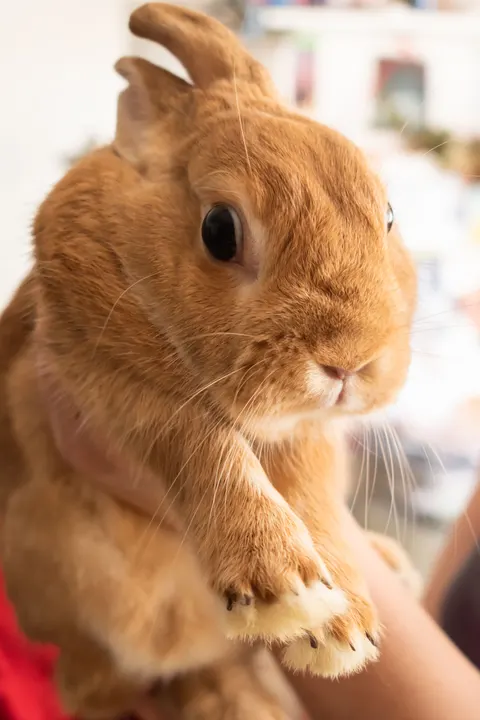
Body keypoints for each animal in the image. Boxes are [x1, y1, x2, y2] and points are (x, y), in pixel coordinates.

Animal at [0, 3, 417, 718]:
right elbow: (199, 442)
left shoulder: (308, 435)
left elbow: (314, 494)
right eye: (219, 230)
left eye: (387, 216)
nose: (351, 362)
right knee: (91, 674)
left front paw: (342, 628)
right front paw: (285, 593)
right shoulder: (104, 380)